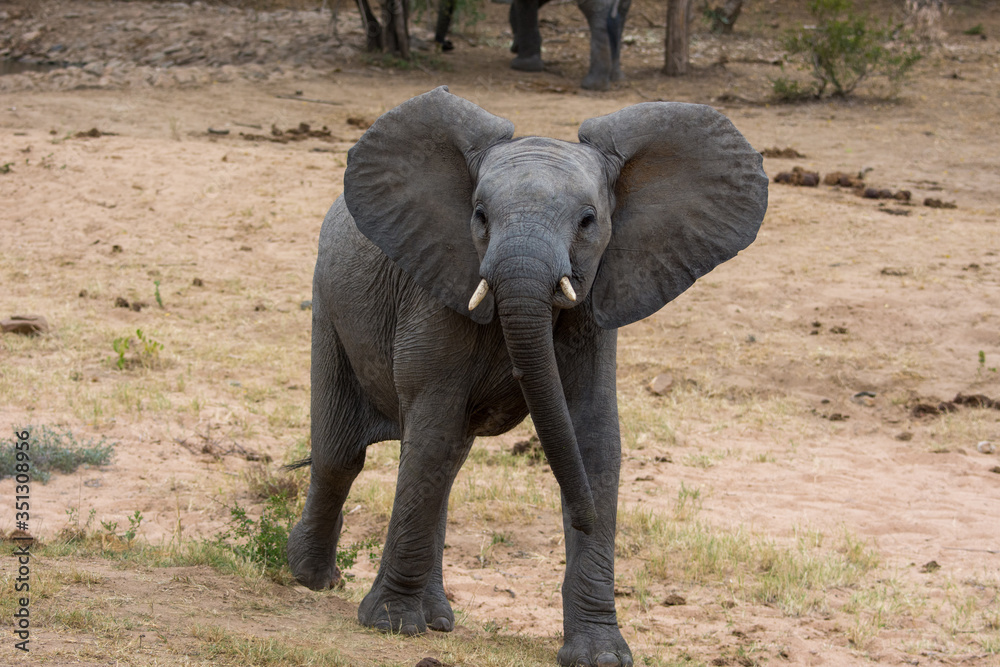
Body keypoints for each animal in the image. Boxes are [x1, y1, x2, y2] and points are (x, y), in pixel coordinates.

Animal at [286, 86, 768, 666]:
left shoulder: (596, 307)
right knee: (345, 455)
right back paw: (311, 578)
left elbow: (592, 439)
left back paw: (437, 618)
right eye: (479, 215)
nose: (584, 517)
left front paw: (600, 655)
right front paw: (390, 625)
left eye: (588, 221)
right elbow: (434, 424)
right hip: (328, 303)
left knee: (442, 465)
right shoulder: (436, 293)